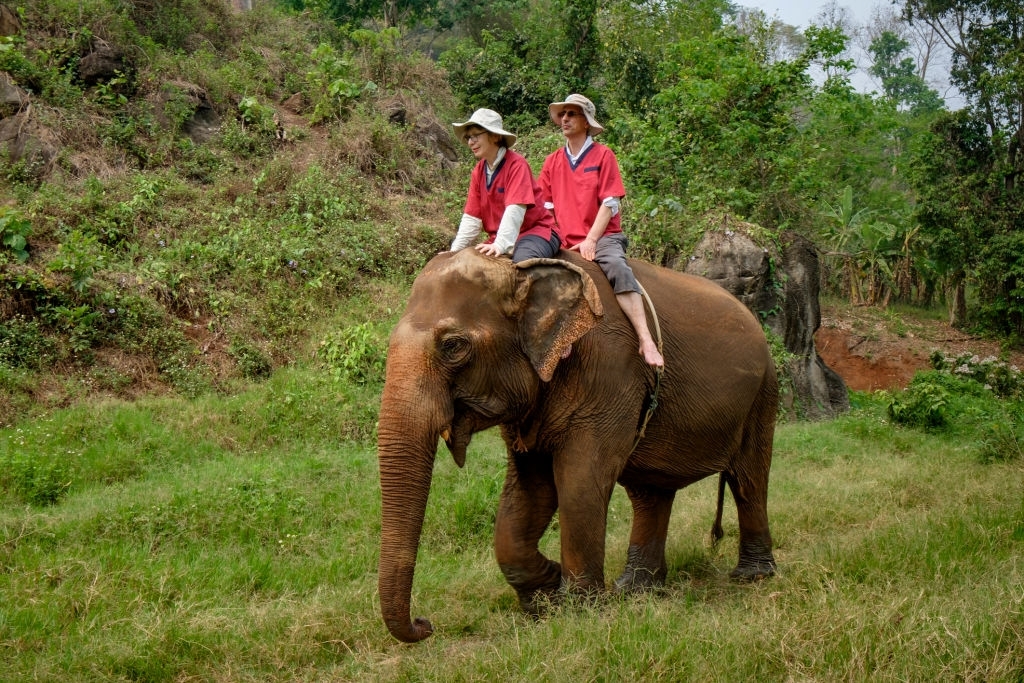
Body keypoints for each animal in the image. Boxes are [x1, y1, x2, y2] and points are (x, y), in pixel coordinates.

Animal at [377, 248, 777, 643]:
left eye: (453, 346)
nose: (425, 624)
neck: (522, 270)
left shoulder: (611, 373)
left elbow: (579, 482)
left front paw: (578, 609)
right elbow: (530, 490)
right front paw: (546, 597)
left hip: (763, 392)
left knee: (748, 480)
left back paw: (752, 576)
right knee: (650, 493)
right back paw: (635, 590)